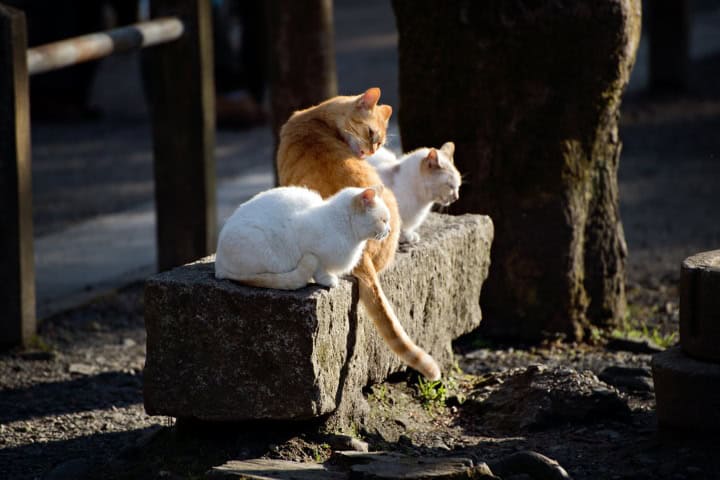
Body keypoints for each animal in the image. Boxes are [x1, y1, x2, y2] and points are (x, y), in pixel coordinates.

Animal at [215, 185, 390, 288]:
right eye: (383, 220)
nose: (388, 230)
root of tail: (218, 266)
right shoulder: (311, 250)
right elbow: (319, 269)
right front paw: (328, 280)